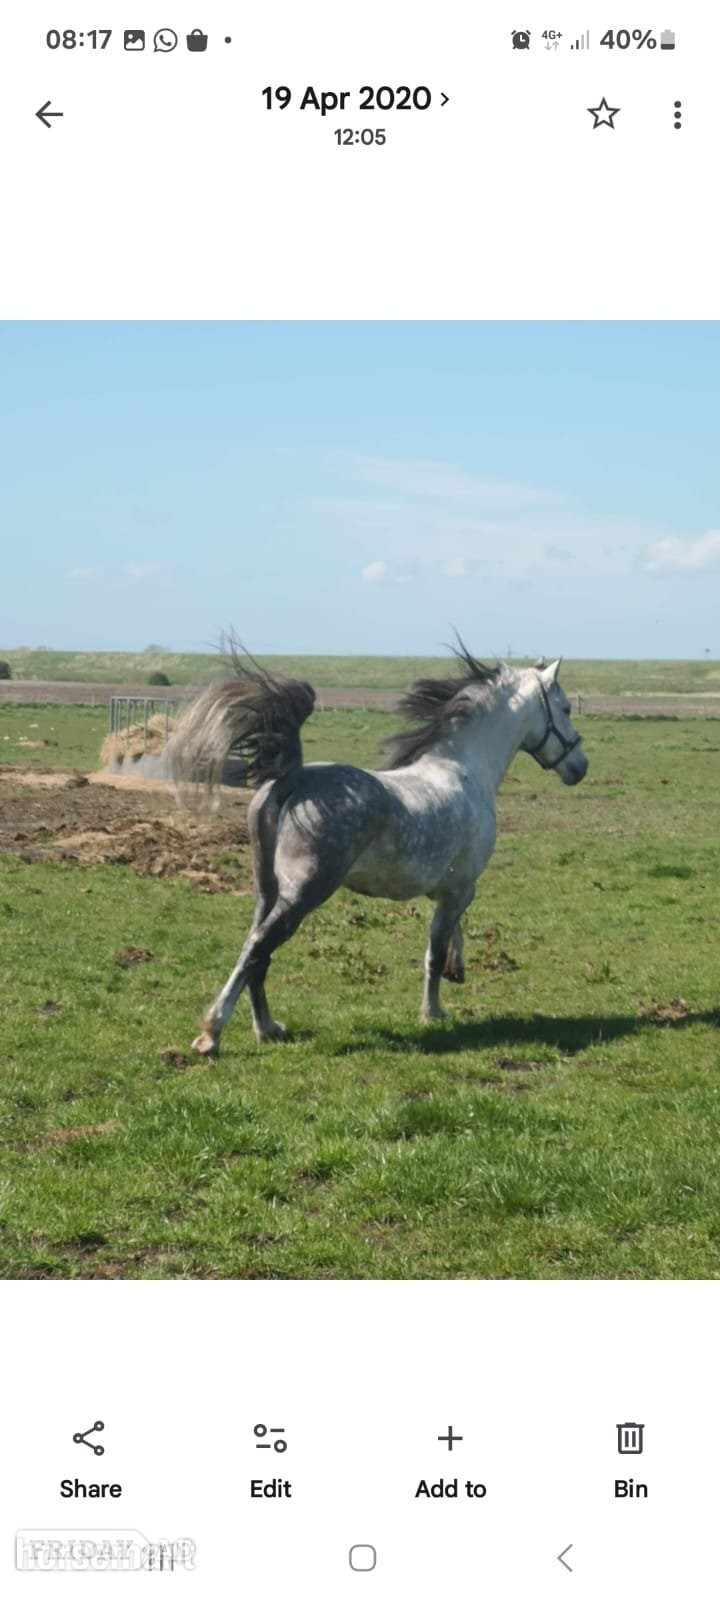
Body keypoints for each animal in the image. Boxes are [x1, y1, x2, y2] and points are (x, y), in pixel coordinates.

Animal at [168, 643, 588, 1055]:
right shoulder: (461, 887)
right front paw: (433, 1012)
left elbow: (450, 936)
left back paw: (267, 1028)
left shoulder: (449, 891)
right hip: (302, 893)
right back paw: (211, 1033)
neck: (466, 771)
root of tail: (293, 780)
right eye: (566, 708)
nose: (580, 767)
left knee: (256, 949)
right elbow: (434, 951)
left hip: (266, 890)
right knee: (258, 947)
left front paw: (457, 970)